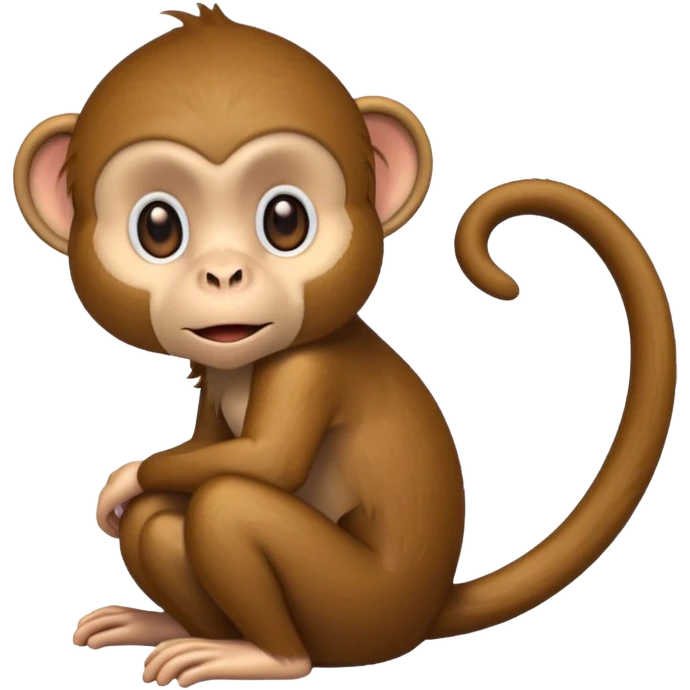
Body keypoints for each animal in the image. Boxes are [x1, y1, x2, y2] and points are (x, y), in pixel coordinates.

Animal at [12, 3, 677, 686]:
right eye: (158, 228)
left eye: (285, 220)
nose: (224, 275)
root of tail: (428, 611)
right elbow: (206, 449)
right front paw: (129, 489)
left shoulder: (308, 368)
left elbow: (266, 461)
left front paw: (123, 480)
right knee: (159, 518)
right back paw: (173, 626)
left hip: (354, 606)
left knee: (228, 504)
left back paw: (268, 657)